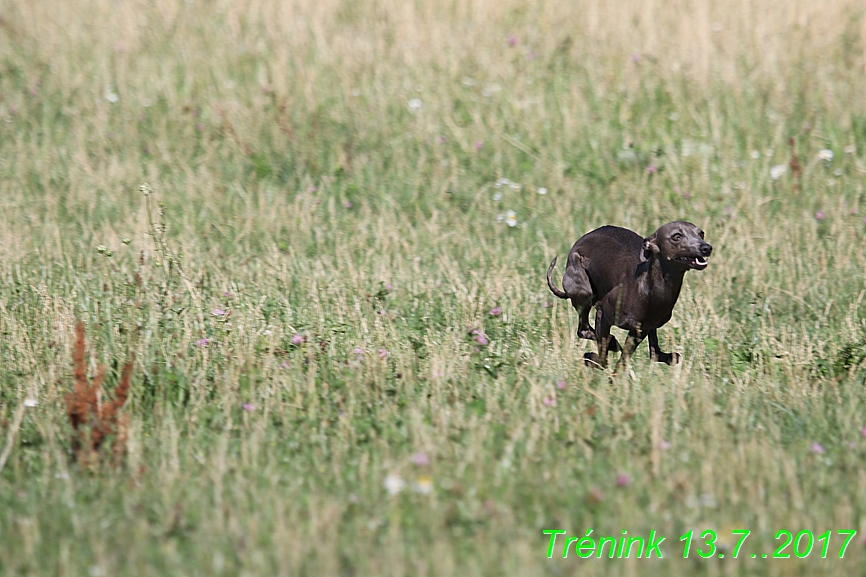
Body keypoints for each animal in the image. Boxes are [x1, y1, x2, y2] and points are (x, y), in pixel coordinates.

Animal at [548, 220, 708, 368]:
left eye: (701, 234)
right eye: (677, 236)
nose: (706, 248)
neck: (644, 287)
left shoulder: (639, 331)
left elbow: (622, 362)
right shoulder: (603, 314)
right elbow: (603, 359)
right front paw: (593, 357)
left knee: (654, 352)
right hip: (583, 292)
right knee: (583, 330)